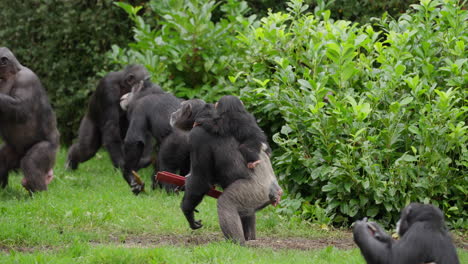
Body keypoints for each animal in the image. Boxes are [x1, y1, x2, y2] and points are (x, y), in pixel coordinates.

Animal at [0, 47, 59, 192]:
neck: (9, 75)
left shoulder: (26, 80)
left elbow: (20, 107)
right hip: (14, 150)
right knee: (2, 158)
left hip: (48, 149)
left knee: (31, 162)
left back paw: (40, 193)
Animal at [171, 99, 282, 245]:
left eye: (180, 107)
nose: (174, 112)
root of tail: (275, 191)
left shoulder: (197, 136)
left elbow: (200, 180)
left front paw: (188, 212)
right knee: (247, 213)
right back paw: (250, 238)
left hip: (254, 192)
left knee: (226, 203)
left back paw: (236, 243)